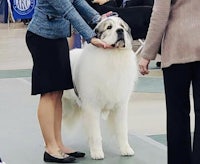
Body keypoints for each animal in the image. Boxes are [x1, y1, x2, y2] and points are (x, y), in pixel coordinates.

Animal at [62, 16, 138, 160]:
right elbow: (96, 134)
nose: (120, 31)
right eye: (109, 27)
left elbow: (122, 130)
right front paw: (97, 153)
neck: (113, 56)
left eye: (122, 27)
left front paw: (126, 149)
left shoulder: (120, 106)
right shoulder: (92, 107)